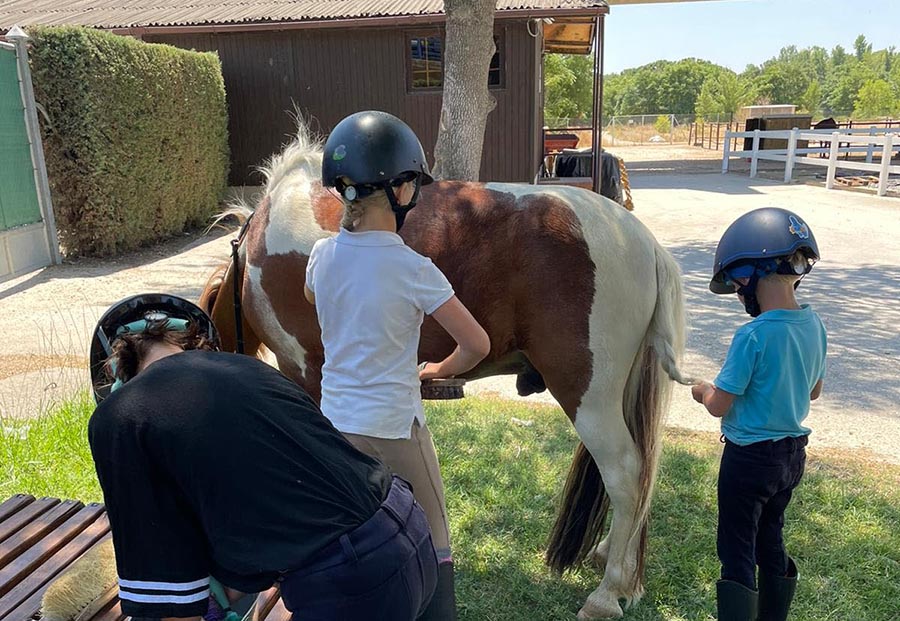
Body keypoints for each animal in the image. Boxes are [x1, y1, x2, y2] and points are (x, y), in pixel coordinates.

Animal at [200, 126, 696, 620]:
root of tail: (642, 241)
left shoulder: (308, 376)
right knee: (639, 473)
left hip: (587, 396)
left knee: (625, 473)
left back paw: (607, 594)